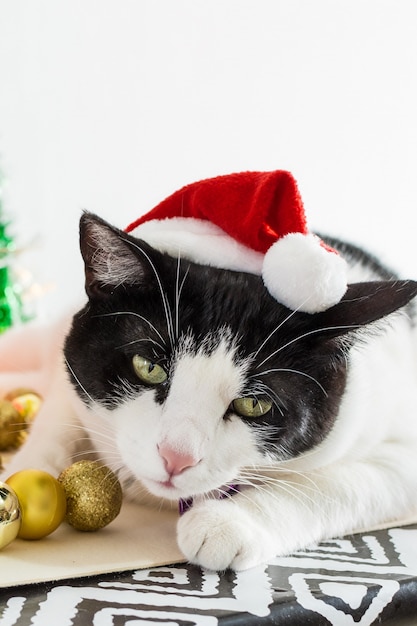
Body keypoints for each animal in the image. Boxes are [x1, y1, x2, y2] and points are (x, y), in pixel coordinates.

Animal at [2, 211, 416, 572]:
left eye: (254, 403)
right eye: (149, 367)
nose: (176, 457)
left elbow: (330, 485)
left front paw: (227, 523)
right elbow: (59, 415)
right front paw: (29, 473)